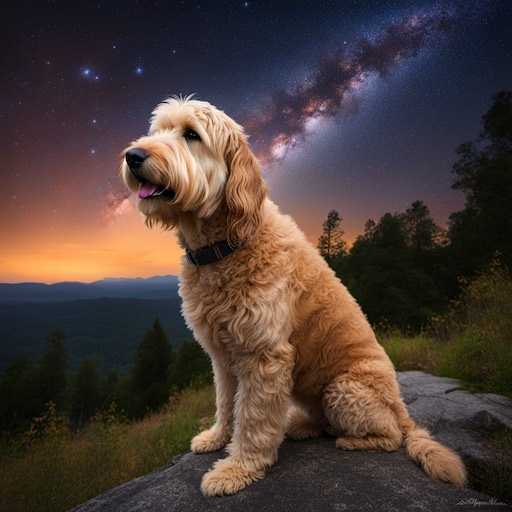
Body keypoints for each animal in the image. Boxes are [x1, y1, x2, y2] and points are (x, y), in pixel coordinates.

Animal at [121, 96, 468, 496]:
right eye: (158, 130)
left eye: (192, 135)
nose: (133, 155)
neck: (226, 245)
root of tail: (402, 408)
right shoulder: (223, 356)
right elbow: (226, 402)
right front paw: (217, 436)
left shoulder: (264, 355)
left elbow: (253, 418)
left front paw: (237, 468)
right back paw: (301, 426)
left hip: (344, 390)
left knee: (391, 436)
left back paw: (352, 440)